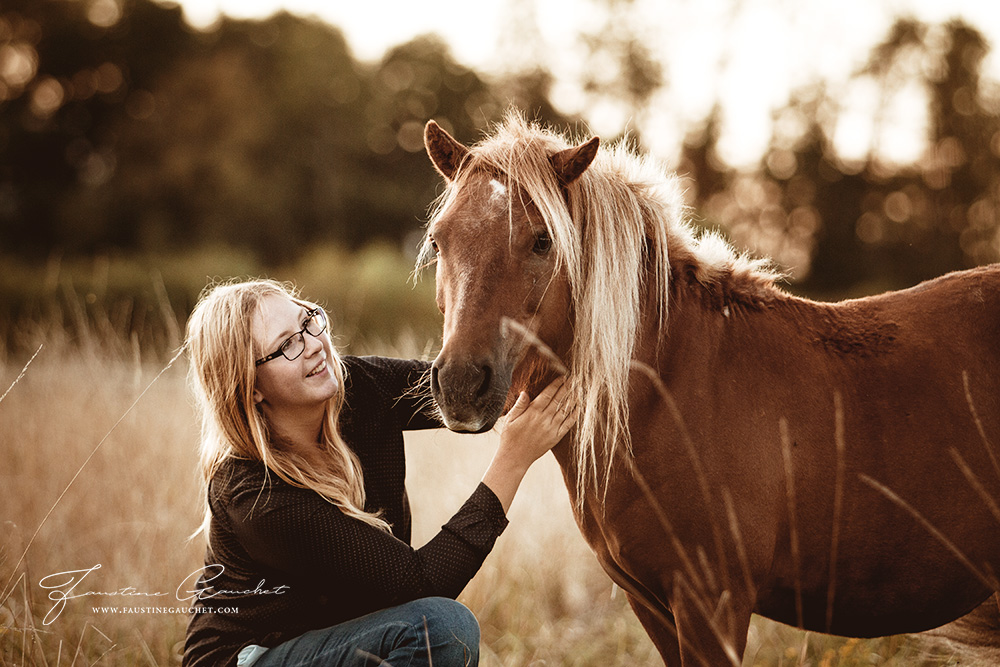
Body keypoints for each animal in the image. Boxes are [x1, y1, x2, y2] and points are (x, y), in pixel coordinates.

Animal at [418, 112, 1000, 664]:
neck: (670, 392)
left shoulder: (713, 603)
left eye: (542, 241)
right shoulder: (654, 605)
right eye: (439, 241)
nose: (461, 384)